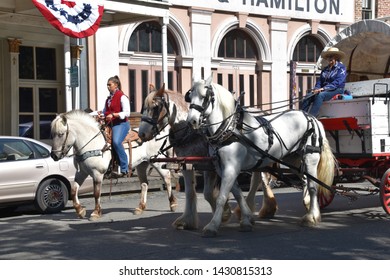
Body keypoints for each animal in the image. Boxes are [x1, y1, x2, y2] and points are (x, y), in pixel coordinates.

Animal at [185, 75, 336, 236]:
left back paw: (311, 217)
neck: (230, 128)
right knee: (307, 181)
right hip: (294, 161)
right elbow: (238, 194)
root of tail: (312, 118)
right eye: (190, 96)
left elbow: (222, 197)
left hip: (310, 159)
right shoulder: (222, 168)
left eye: (204, 97)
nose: (191, 121)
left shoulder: (231, 168)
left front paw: (212, 226)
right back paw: (313, 212)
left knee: (313, 186)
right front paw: (247, 219)